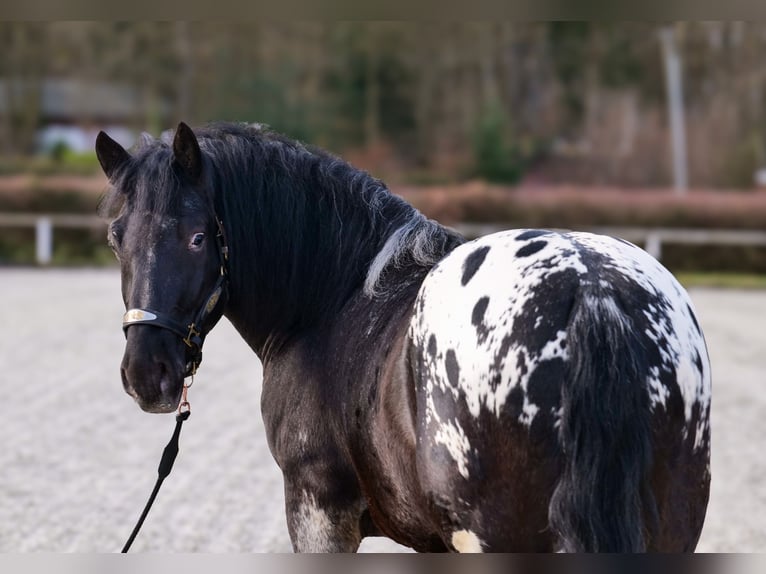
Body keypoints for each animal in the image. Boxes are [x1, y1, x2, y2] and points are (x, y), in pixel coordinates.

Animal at [96, 120, 712, 552]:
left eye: (198, 237)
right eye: (116, 237)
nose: (146, 374)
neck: (331, 298)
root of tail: (587, 289)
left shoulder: (317, 511)